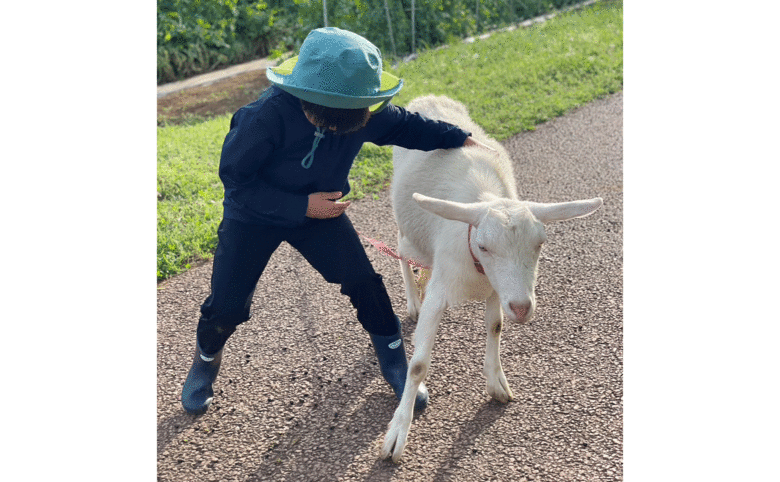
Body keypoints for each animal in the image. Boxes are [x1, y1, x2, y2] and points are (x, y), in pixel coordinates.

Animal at [384, 96, 604, 462]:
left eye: (540, 243)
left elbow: (495, 327)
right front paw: (398, 433)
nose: (522, 308)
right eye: (484, 246)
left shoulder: (495, 289)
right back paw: (413, 299)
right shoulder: (444, 287)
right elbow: (417, 366)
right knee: (400, 247)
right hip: (412, 234)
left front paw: (496, 383)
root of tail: (429, 98)